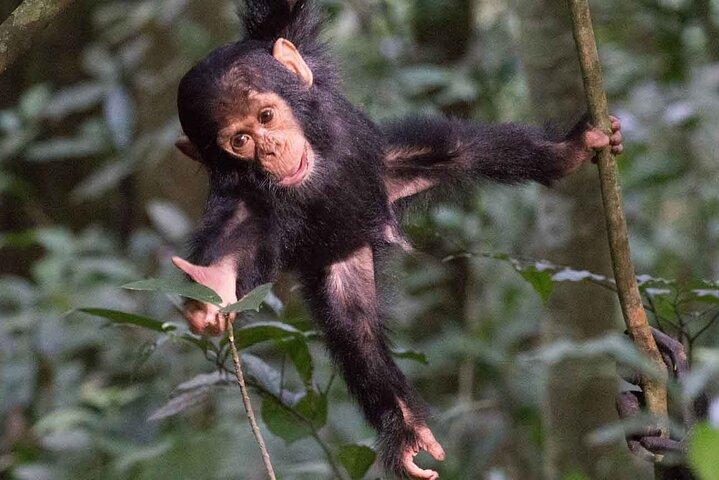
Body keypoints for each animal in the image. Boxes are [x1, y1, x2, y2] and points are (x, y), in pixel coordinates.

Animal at [171, 1, 623, 478]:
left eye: (266, 117)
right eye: (240, 141)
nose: (271, 149)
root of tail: (367, 226)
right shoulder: (247, 202)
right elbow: (236, 238)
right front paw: (212, 289)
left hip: (388, 169)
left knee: (460, 148)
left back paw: (567, 151)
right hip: (342, 254)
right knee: (355, 327)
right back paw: (405, 428)